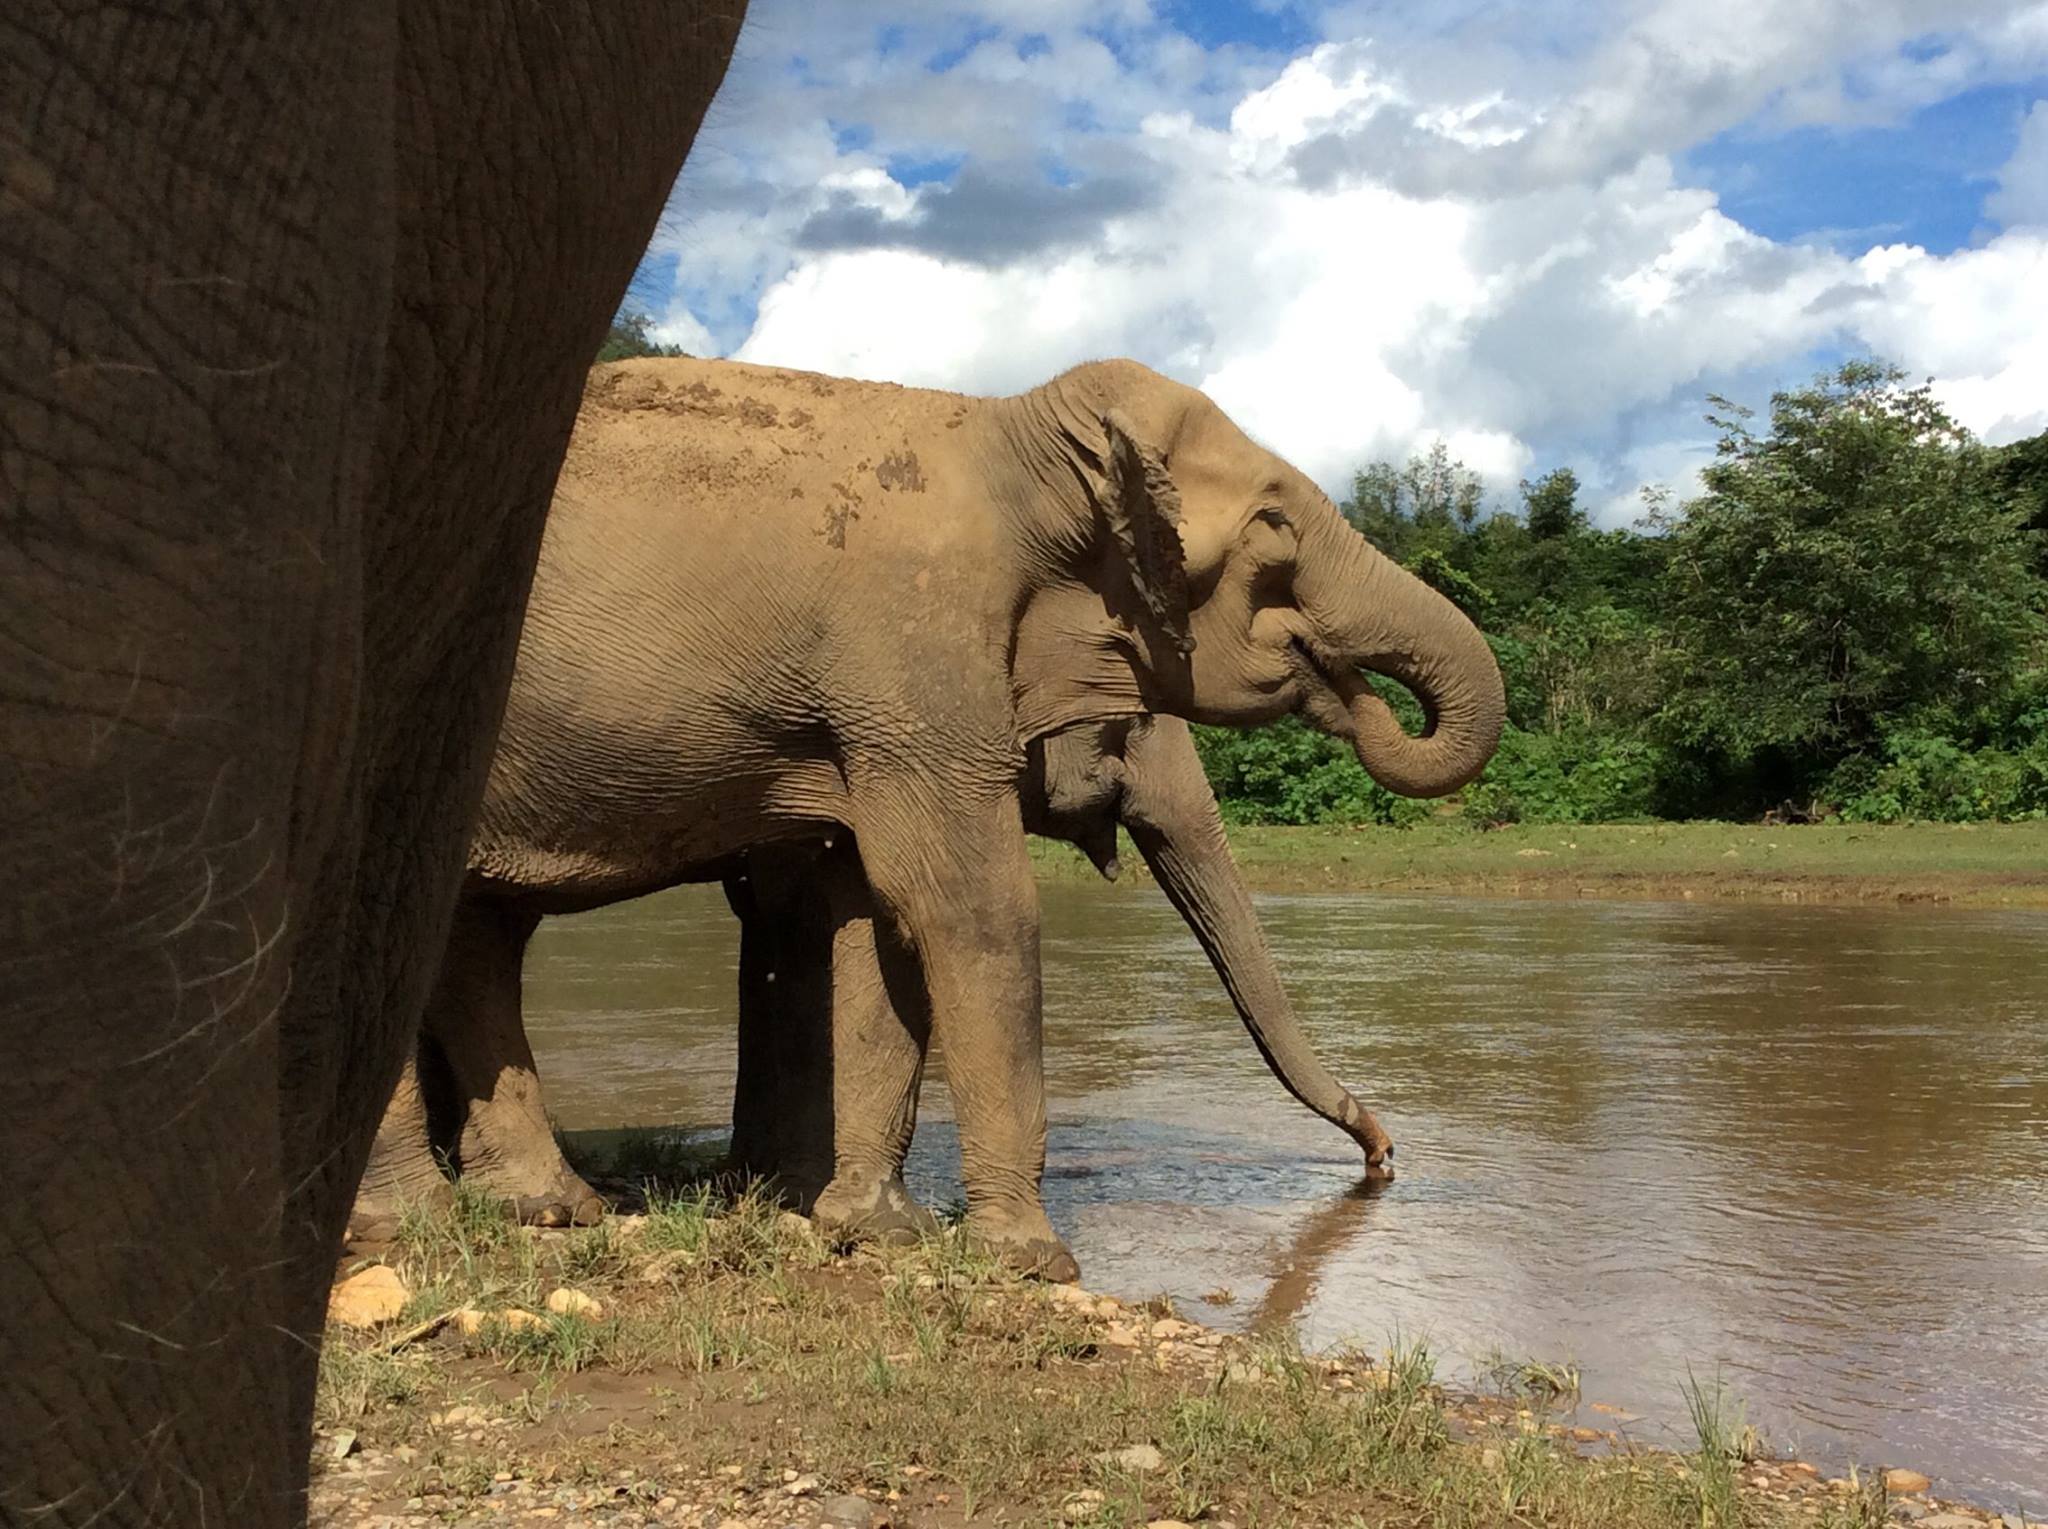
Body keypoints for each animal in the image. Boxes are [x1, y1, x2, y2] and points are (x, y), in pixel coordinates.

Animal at [352, 356, 1507, 1277]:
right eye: (1274, 533)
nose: (1382, 1155)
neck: (1010, 431)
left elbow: (876, 924)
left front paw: (868, 1228)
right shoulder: (910, 651)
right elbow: (968, 908)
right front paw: (1032, 1262)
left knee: (476, 932)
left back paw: (547, 1206)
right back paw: (411, 1221)